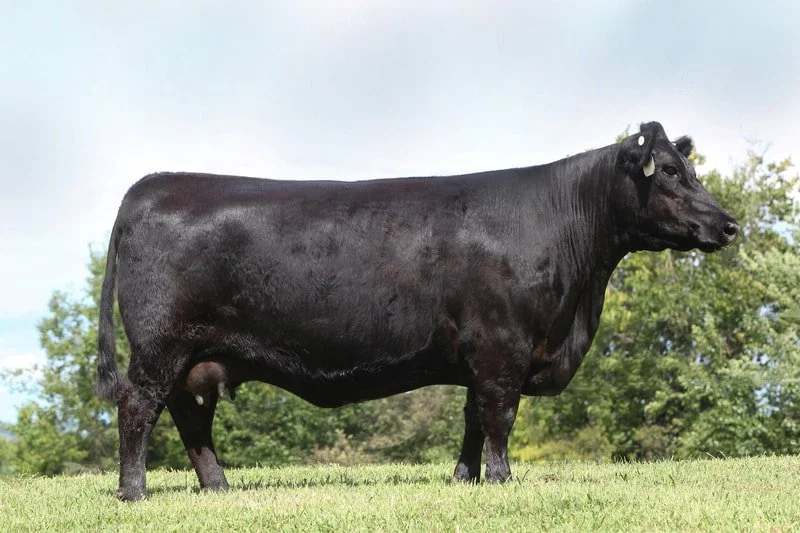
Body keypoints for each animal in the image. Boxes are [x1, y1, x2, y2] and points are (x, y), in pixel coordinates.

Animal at [96, 122, 739, 501]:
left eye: (690, 169)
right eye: (671, 172)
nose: (729, 224)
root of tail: (153, 185)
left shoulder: (482, 354)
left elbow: (474, 419)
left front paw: (465, 479)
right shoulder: (501, 345)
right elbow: (500, 416)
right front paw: (503, 481)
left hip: (198, 359)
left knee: (190, 419)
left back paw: (219, 487)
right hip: (160, 346)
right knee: (137, 408)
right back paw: (134, 492)